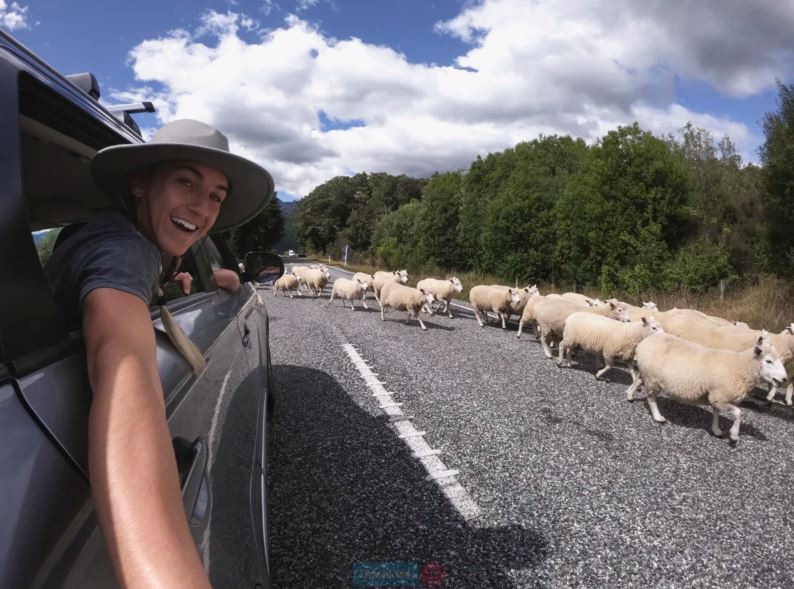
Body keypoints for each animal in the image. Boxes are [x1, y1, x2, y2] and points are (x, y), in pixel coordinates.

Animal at [624, 334, 784, 444]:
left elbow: (716, 413)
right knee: (651, 398)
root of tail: (644, 342)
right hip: (653, 379)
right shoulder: (720, 396)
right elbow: (739, 413)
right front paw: (734, 435)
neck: (740, 367)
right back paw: (658, 417)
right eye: (768, 361)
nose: (784, 379)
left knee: (637, 381)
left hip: (646, 374)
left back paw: (629, 395)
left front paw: (716, 430)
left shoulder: (716, 396)